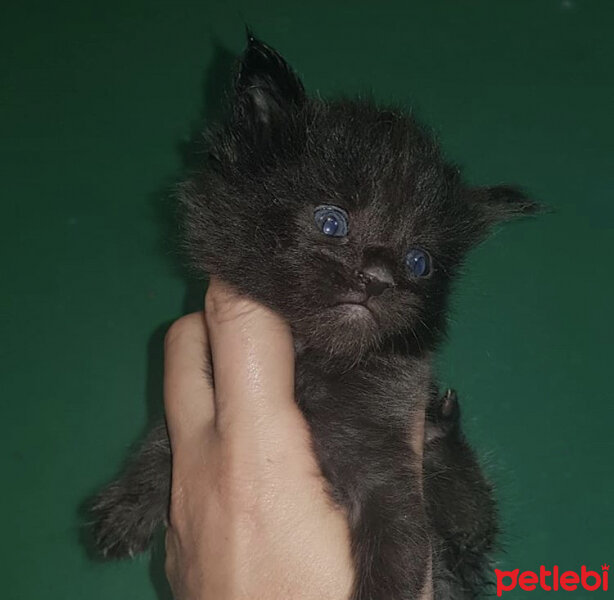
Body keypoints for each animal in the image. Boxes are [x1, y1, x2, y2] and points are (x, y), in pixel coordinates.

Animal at [90, 34, 536, 600]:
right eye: (331, 222)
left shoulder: (389, 471)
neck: (316, 359)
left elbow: (402, 549)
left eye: (419, 262)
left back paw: (441, 433)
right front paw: (129, 502)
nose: (378, 277)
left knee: (473, 515)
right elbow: (161, 436)